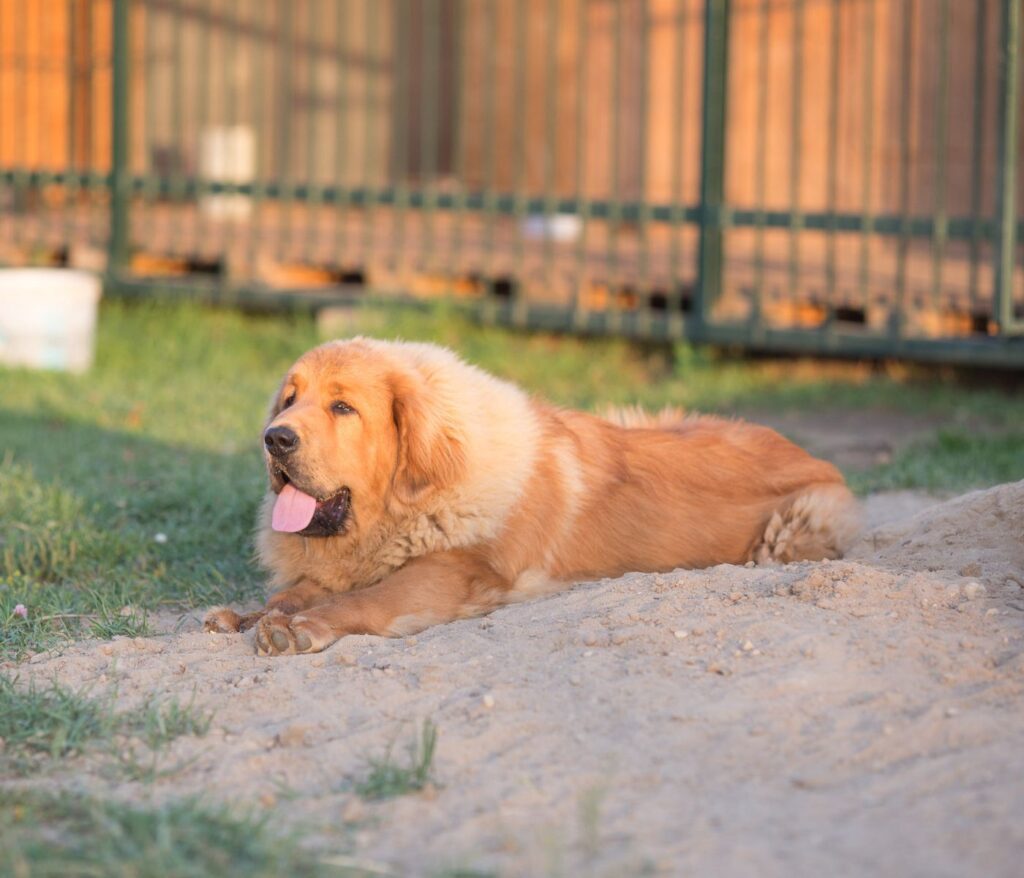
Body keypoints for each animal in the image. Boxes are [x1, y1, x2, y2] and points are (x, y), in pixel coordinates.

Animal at [203, 340, 860, 655]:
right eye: (290, 399)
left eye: (342, 407)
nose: (275, 438)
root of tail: (817, 456)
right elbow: (294, 591)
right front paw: (253, 613)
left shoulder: (450, 574)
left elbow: (366, 599)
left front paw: (303, 626)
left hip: (786, 532)